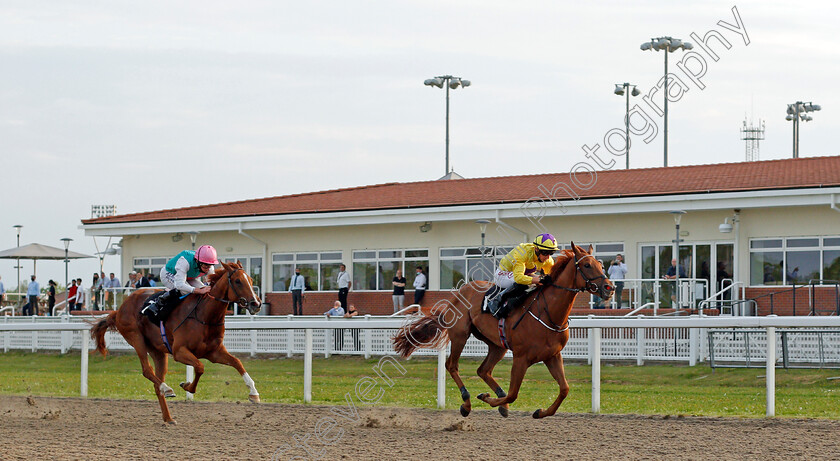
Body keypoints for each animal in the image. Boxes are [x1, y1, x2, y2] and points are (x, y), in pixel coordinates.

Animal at [90, 260, 260, 422]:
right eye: (238, 281)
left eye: (251, 280)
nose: (256, 304)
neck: (205, 316)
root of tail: (119, 309)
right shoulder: (179, 352)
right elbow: (200, 367)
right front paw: (187, 386)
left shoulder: (214, 352)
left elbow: (237, 362)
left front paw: (254, 393)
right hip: (136, 338)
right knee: (147, 370)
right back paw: (167, 389)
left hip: (158, 351)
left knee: (156, 382)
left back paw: (168, 417)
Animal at [390, 243, 612, 418]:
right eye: (586, 265)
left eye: (600, 264)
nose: (609, 288)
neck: (548, 312)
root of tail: (458, 294)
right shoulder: (521, 357)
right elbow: (514, 393)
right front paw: (486, 398)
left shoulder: (552, 355)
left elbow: (564, 389)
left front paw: (540, 412)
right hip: (460, 335)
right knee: (452, 365)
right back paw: (467, 403)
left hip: (498, 345)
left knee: (483, 370)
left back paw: (499, 401)